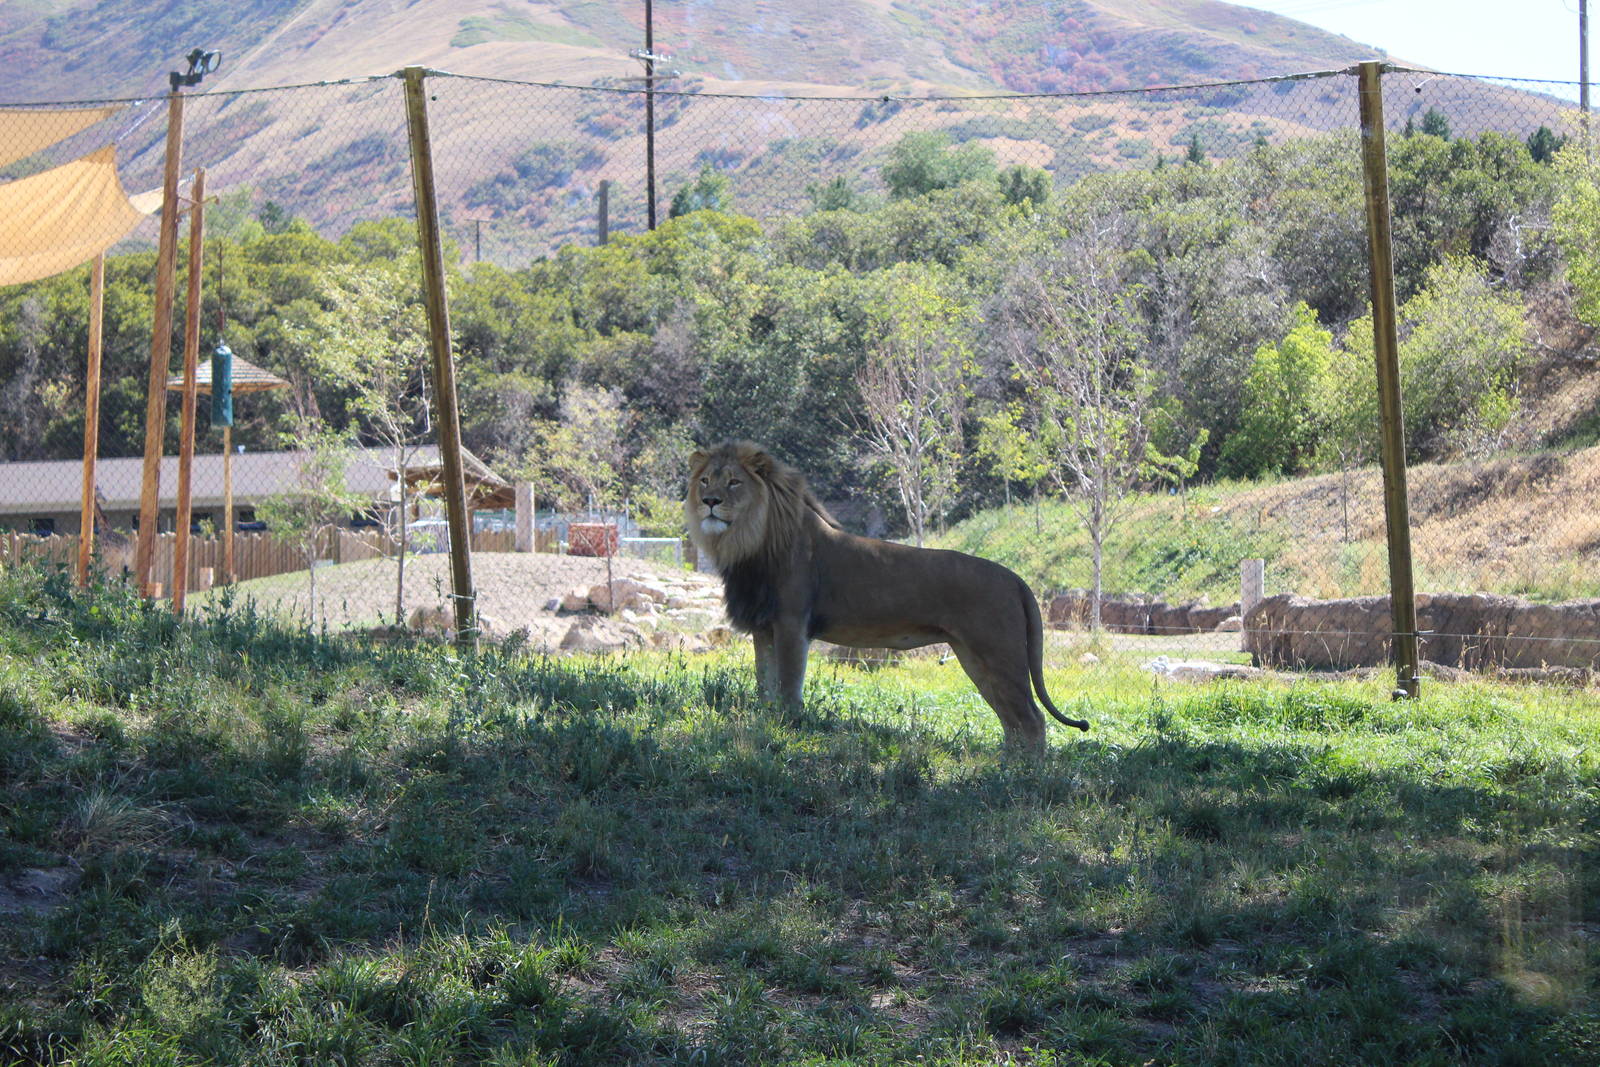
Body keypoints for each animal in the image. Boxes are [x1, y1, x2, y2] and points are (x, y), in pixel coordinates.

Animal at [686, 441, 1089, 750]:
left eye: (734, 482)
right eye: (705, 480)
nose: (709, 500)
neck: (749, 543)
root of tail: (1015, 579)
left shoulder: (790, 625)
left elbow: (787, 690)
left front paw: (785, 732)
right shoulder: (764, 629)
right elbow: (765, 688)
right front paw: (767, 724)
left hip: (1000, 654)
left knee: (1032, 719)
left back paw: (1025, 777)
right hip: (976, 659)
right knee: (1013, 721)